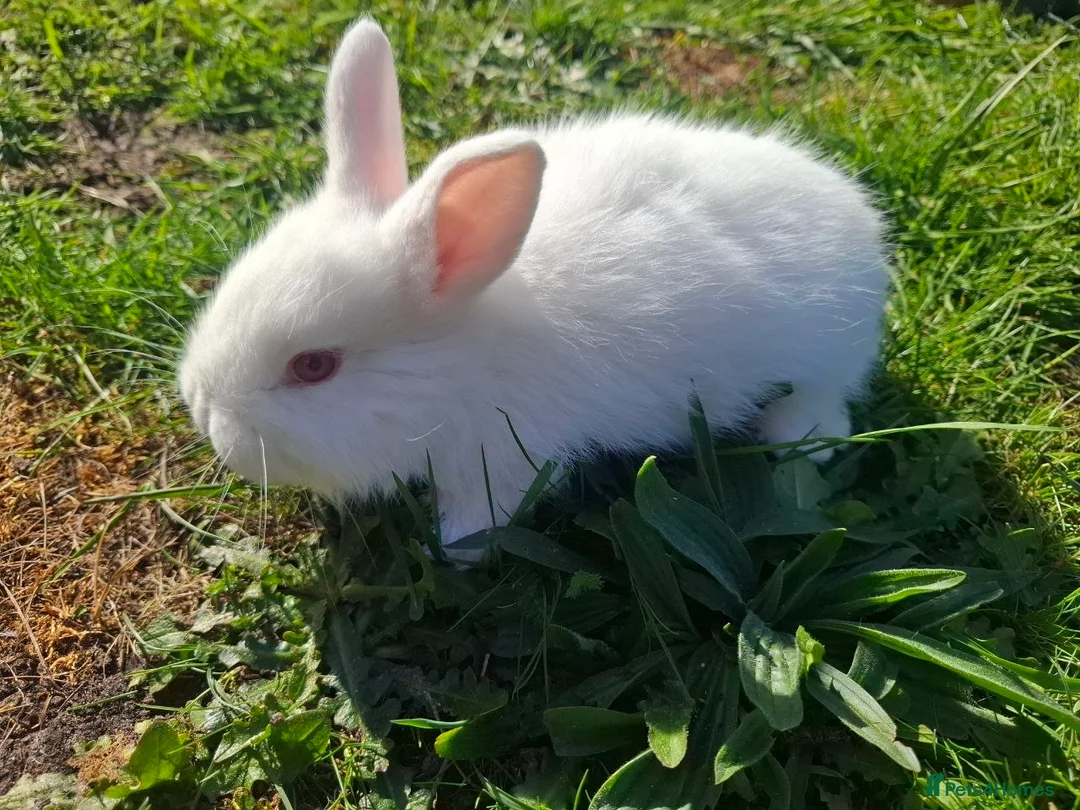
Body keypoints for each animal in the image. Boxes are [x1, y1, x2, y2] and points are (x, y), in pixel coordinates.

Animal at [178, 17, 887, 553]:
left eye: (314, 366)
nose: (203, 411)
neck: (458, 358)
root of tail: (862, 226)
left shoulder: (498, 459)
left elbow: (483, 513)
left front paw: (454, 551)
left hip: (822, 365)